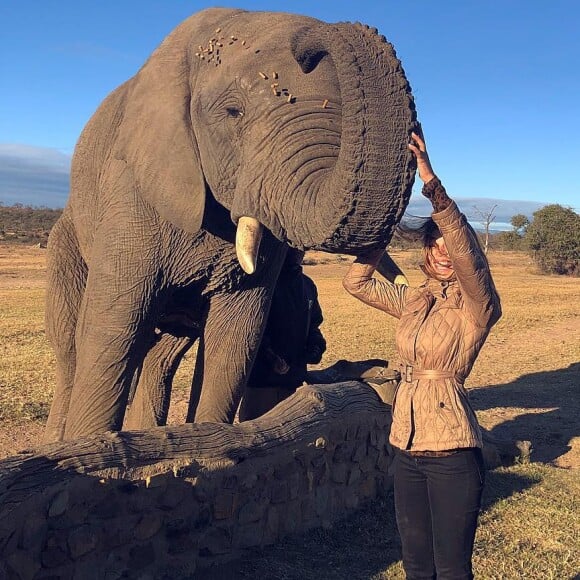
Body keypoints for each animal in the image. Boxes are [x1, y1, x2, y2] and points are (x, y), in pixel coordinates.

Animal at [45, 6, 416, 442]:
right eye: (233, 113)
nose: (311, 37)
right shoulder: (131, 188)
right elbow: (114, 326)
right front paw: (93, 445)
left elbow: (236, 338)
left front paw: (206, 441)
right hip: (66, 242)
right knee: (72, 349)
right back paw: (57, 440)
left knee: (162, 356)